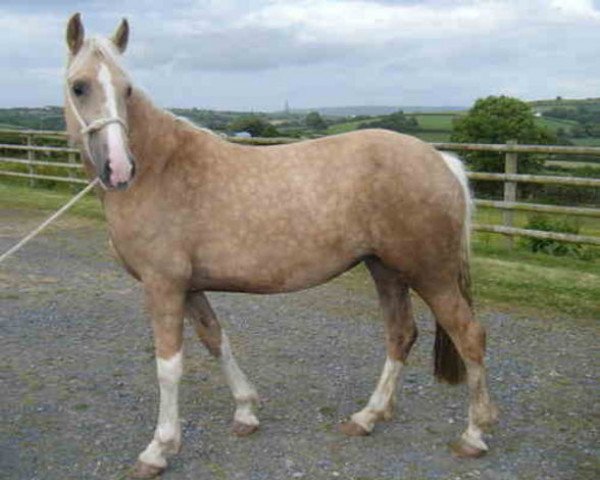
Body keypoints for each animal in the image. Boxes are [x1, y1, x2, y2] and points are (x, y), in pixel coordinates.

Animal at [63, 13, 500, 478]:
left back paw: (474, 434)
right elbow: (216, 340)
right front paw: (245, 411)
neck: (160, 168)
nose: (119, 168)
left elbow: (169, 365)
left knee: (469, 336)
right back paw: (367, 417)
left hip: (430, 274)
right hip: (385, 269)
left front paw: (159, 449)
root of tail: (442, 161)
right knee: (401, 334)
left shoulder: (162, 285)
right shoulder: (189, 286)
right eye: (79, 86)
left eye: (126, 88)